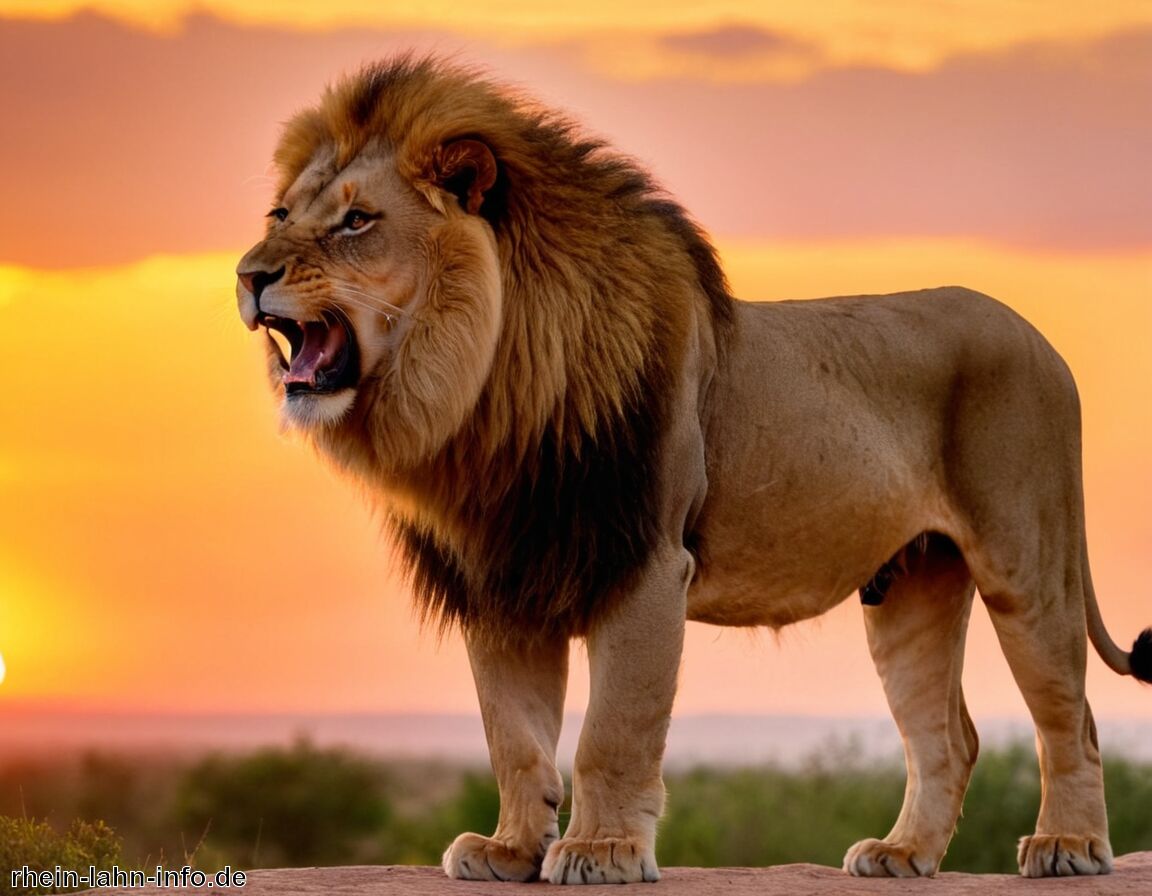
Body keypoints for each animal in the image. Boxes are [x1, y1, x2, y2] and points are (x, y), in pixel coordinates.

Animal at [236, 56, 1151, 882]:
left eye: (357, 221)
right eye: (279, 213)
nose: (248, 274)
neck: (489, 392)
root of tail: (1039, 337)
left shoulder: (643, 563)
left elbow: (613, 730)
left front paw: (602, 851)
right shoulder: (506, 578)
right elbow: (514, 736)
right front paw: (509, 850)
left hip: (1025, 562)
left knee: (1070, 719)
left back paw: (1068, 846)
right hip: (912, 586)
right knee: (948, 737)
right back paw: (903, 854)